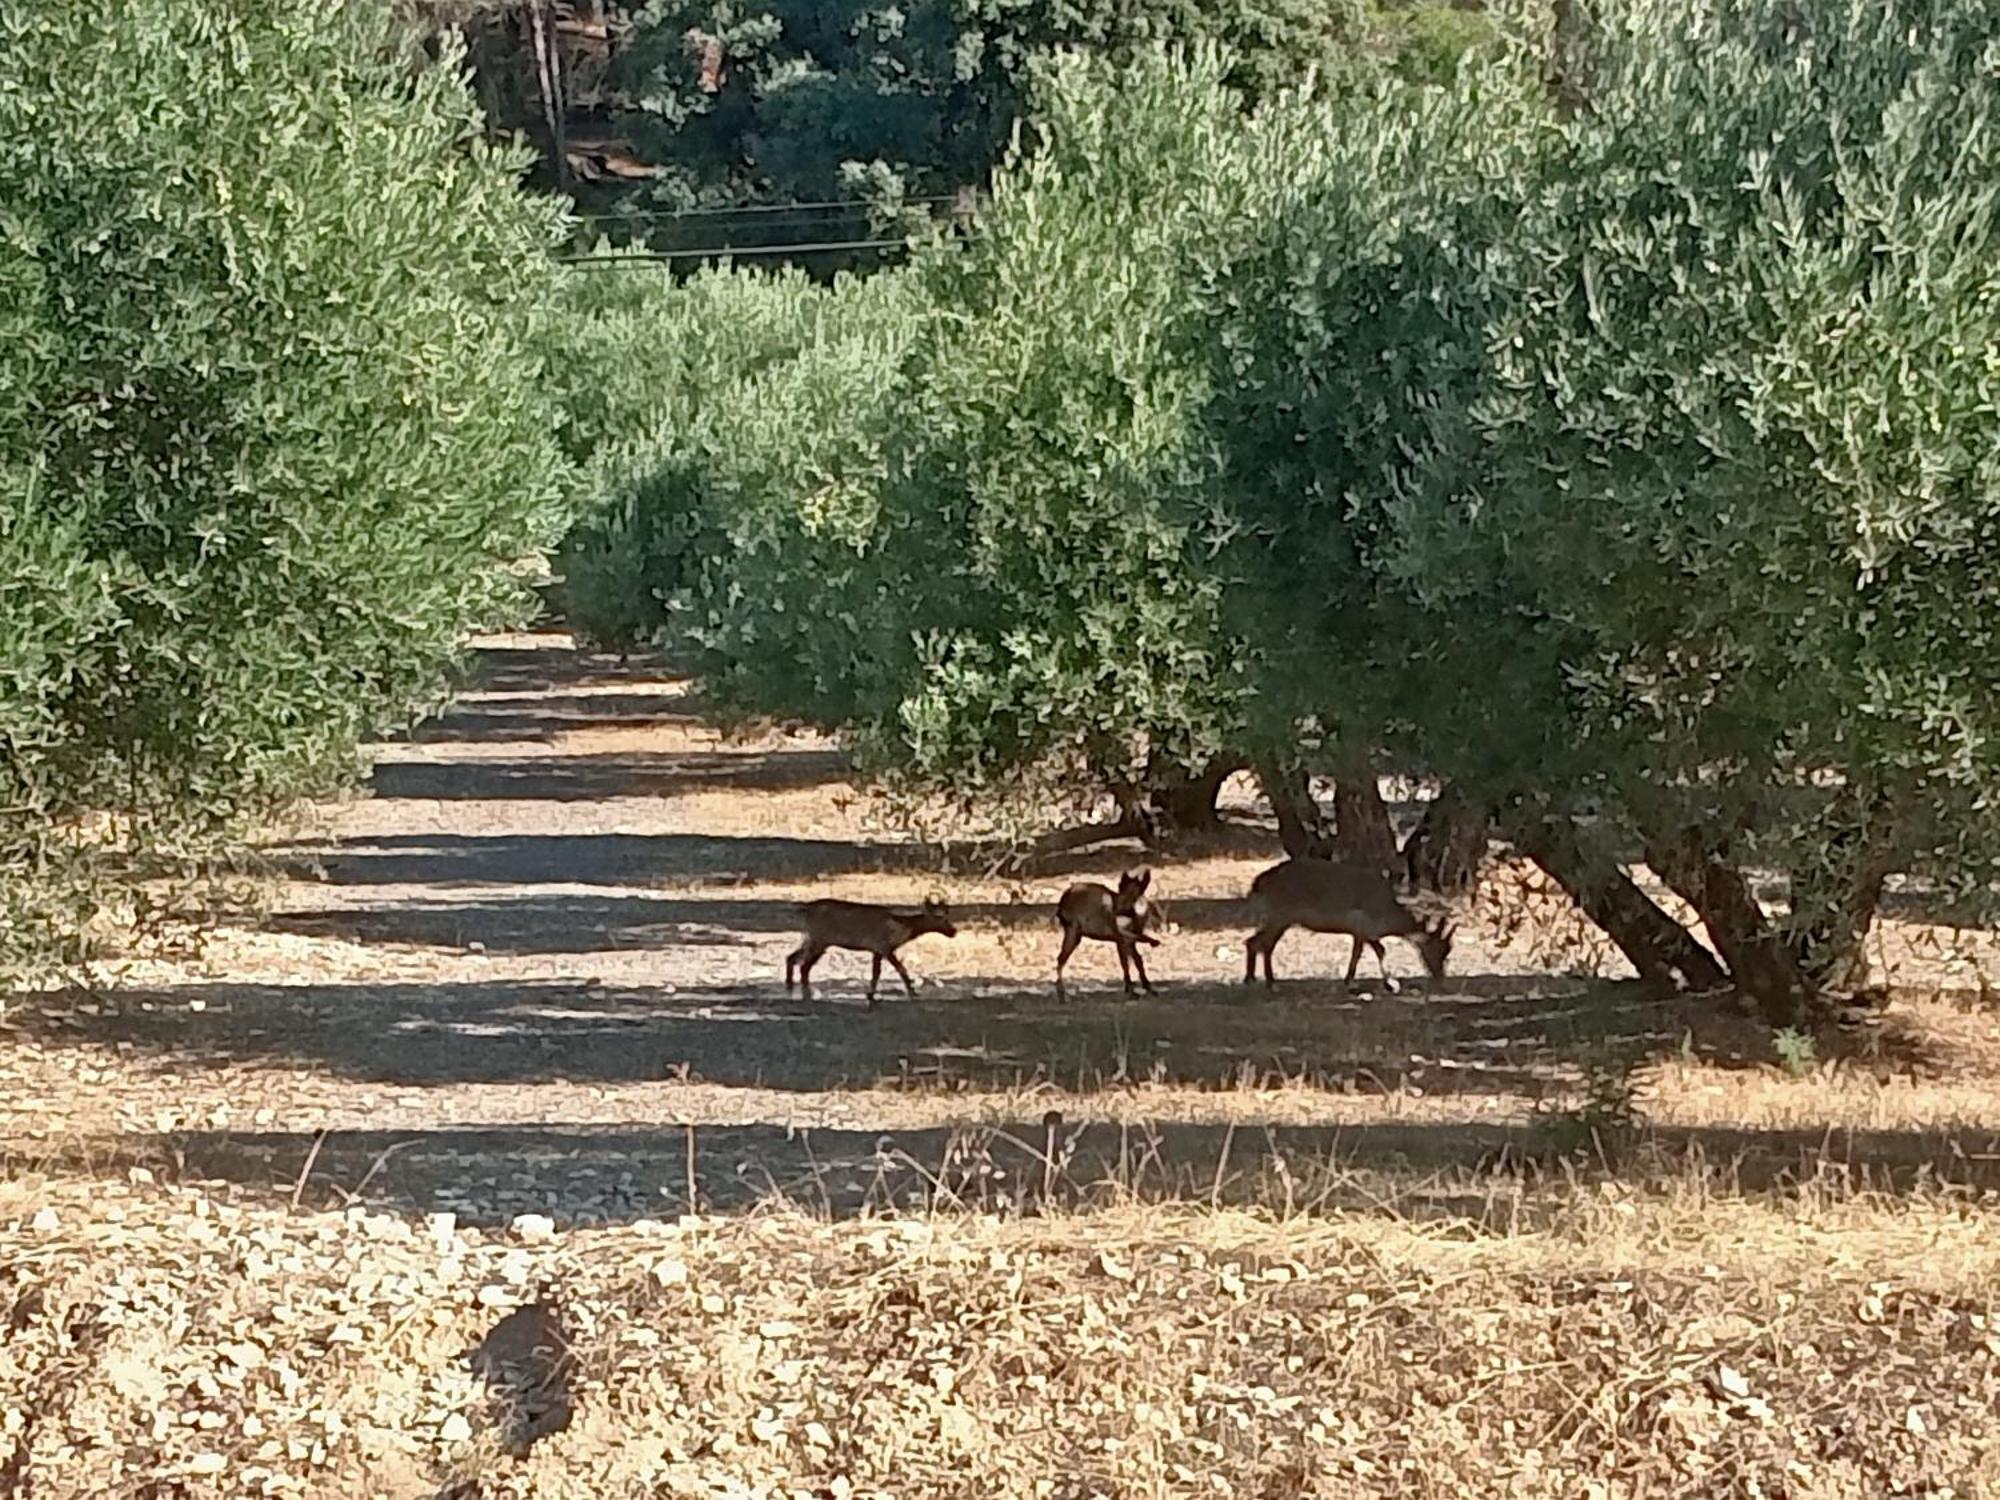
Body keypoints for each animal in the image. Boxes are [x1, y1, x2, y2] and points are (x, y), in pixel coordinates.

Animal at [784, 900, 956, 1004]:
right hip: (819, 939)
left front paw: (871, 994)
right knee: (804, 965)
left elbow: (876, 973)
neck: (902, 929)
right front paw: (912, 992)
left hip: (812, 938)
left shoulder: (876, 950)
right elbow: (900, 969)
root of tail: (806, 910)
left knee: (793, 959)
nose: (953, 931)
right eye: (940, 917)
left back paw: (792, 986)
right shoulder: (884, 947)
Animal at [1056, 868, 1168, 1000]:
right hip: (1074, 931)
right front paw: (1132, 990)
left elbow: (1136, 960)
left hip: (1077, 934)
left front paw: (1146, 986)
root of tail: (1062, 902)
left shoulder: (1125, 941)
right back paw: (1062, 994)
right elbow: (1126, 962)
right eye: (1120, 887)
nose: (1120, 913)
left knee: (1060, 959)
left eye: (1139, 891)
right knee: (1060, 959)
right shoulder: (1121, 938)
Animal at [1232, 864, 1456, 992]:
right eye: (1439, 950)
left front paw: (1388, 983)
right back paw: (1270, 983)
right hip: (1280, 915)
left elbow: (1376, 950)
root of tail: (1259, 882)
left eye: (1448, 950)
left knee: (1254, 942)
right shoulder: (1362, 927)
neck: (1388, 911)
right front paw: (1356, 981)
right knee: (1264, 944)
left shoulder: (1366, 932)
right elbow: (1367, 952)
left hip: (1277, 917)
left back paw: (1252, 979)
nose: (1440, 976)